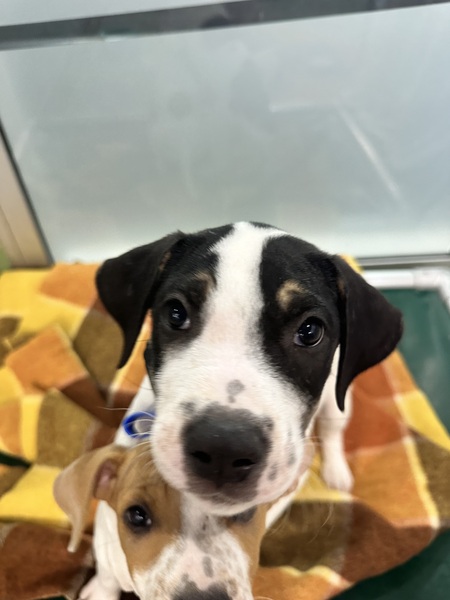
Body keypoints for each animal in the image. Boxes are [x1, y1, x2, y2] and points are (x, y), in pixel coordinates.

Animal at [96, 222, 402, 517]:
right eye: (175, 313)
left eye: (310, 331)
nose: (223, 448)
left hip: (337, 401)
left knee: (332, 428)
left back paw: (336, 471)